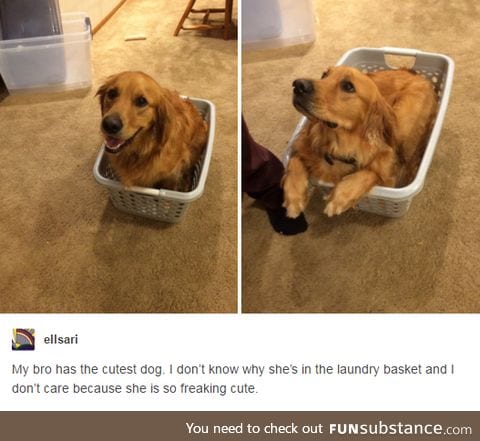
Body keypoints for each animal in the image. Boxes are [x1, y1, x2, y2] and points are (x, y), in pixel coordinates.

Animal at [284, 65, 436, 217]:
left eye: (348, 86)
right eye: (324, 75)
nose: (298, 85)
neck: (337, 145)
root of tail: (417, 75)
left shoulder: (387, 170)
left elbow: (372, 173)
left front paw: (340, 196)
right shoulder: (302, 142)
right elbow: (294, 161)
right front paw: (294, 198)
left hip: (403, 122)